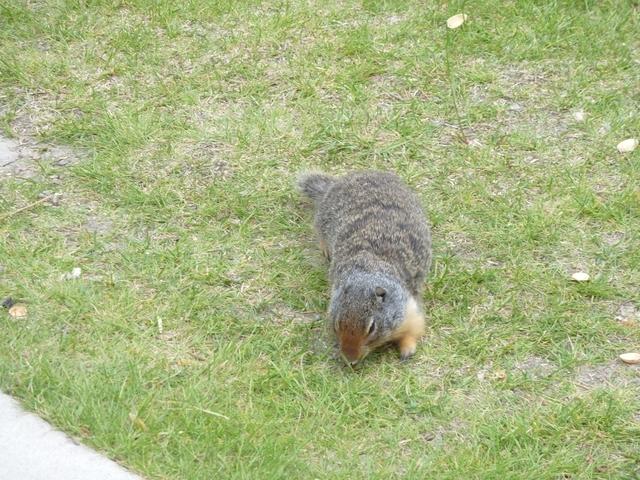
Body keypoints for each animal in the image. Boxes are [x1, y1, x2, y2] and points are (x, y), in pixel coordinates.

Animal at [298, 171, 432, 366]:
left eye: (372, 327)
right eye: (336, 323)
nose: (350, 360)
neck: (368, 271)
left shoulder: (408, 308)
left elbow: (414, 329)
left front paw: (407, 350)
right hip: (323, 219)